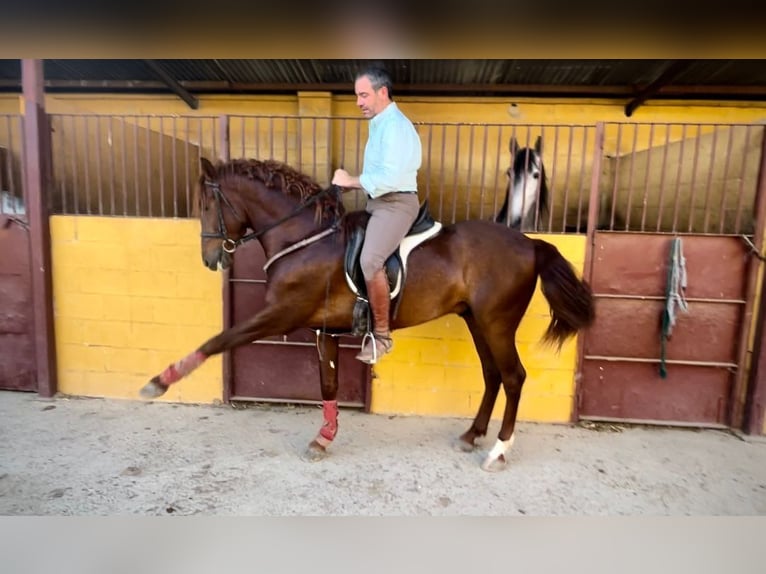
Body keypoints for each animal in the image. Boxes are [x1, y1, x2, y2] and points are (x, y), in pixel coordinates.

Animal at [142, 158, 600, 472]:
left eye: (206, 204)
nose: (210, 258)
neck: (305, 239)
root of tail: (530, 243)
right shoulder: (322, 329)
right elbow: (328, 384)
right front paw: (324, 439)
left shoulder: (281, 315)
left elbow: (220, 339)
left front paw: (160, 381)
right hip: (476, 321)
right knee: (493, 375)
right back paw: (471, 435)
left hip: (496, 322)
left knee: (513, 377)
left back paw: (499, 450)